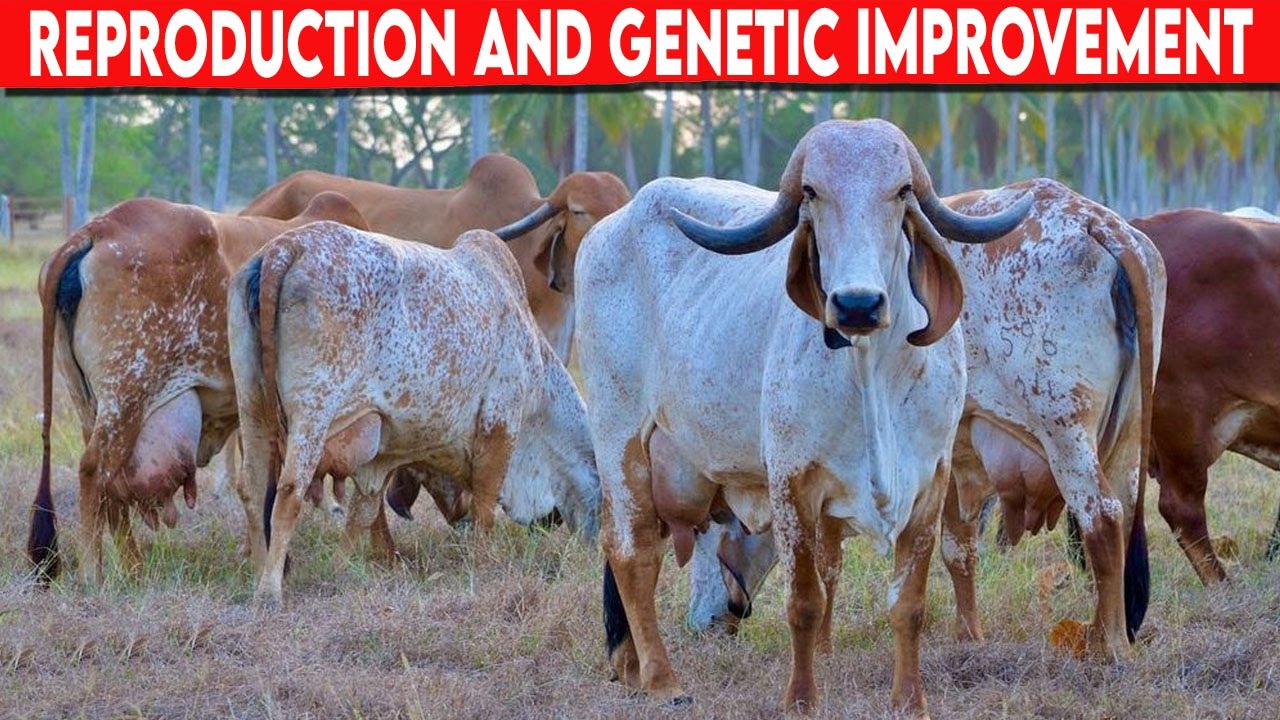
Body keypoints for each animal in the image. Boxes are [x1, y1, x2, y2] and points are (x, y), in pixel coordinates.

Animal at [27, 193, 369, 586]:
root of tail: (98, 229)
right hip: (126, 397)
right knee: (93, 472)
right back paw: (92, 575)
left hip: (90, 403)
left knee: (110, 486)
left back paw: (132, 568)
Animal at [226, 224, 601, 606]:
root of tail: (286, 248)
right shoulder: (500, 423)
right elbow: (484, 507)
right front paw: (484, 563)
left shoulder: (382, 453)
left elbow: (364, 511)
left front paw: (342, 567)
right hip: (313, 410)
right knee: (289, 491)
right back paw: (269, 590)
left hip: (252, 404)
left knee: (252, 487)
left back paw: (258, 571)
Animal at [574, 119, 1032, 716]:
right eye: (812, 192)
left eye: (901, 191)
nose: (857, 304)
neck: (871, 375)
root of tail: (612, 225)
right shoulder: (792, 484)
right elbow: (806, 601)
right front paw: (801, 699)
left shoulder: (931, 482)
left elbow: (908, 603)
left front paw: (910, 700)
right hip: (619, 433)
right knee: (632, 553)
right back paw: (661, 678)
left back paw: (629, 669)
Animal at [685, 180, 1164, 663]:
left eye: (705, 529)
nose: (701, 624)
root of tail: (1098, 223)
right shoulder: (951, 460)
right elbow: (958, 551)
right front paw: (969, 635)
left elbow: (827, 561)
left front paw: (821, 646)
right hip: (1127, 436)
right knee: (1124, 514)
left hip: (1064, 432)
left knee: (1102, 516)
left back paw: (1107, 643)